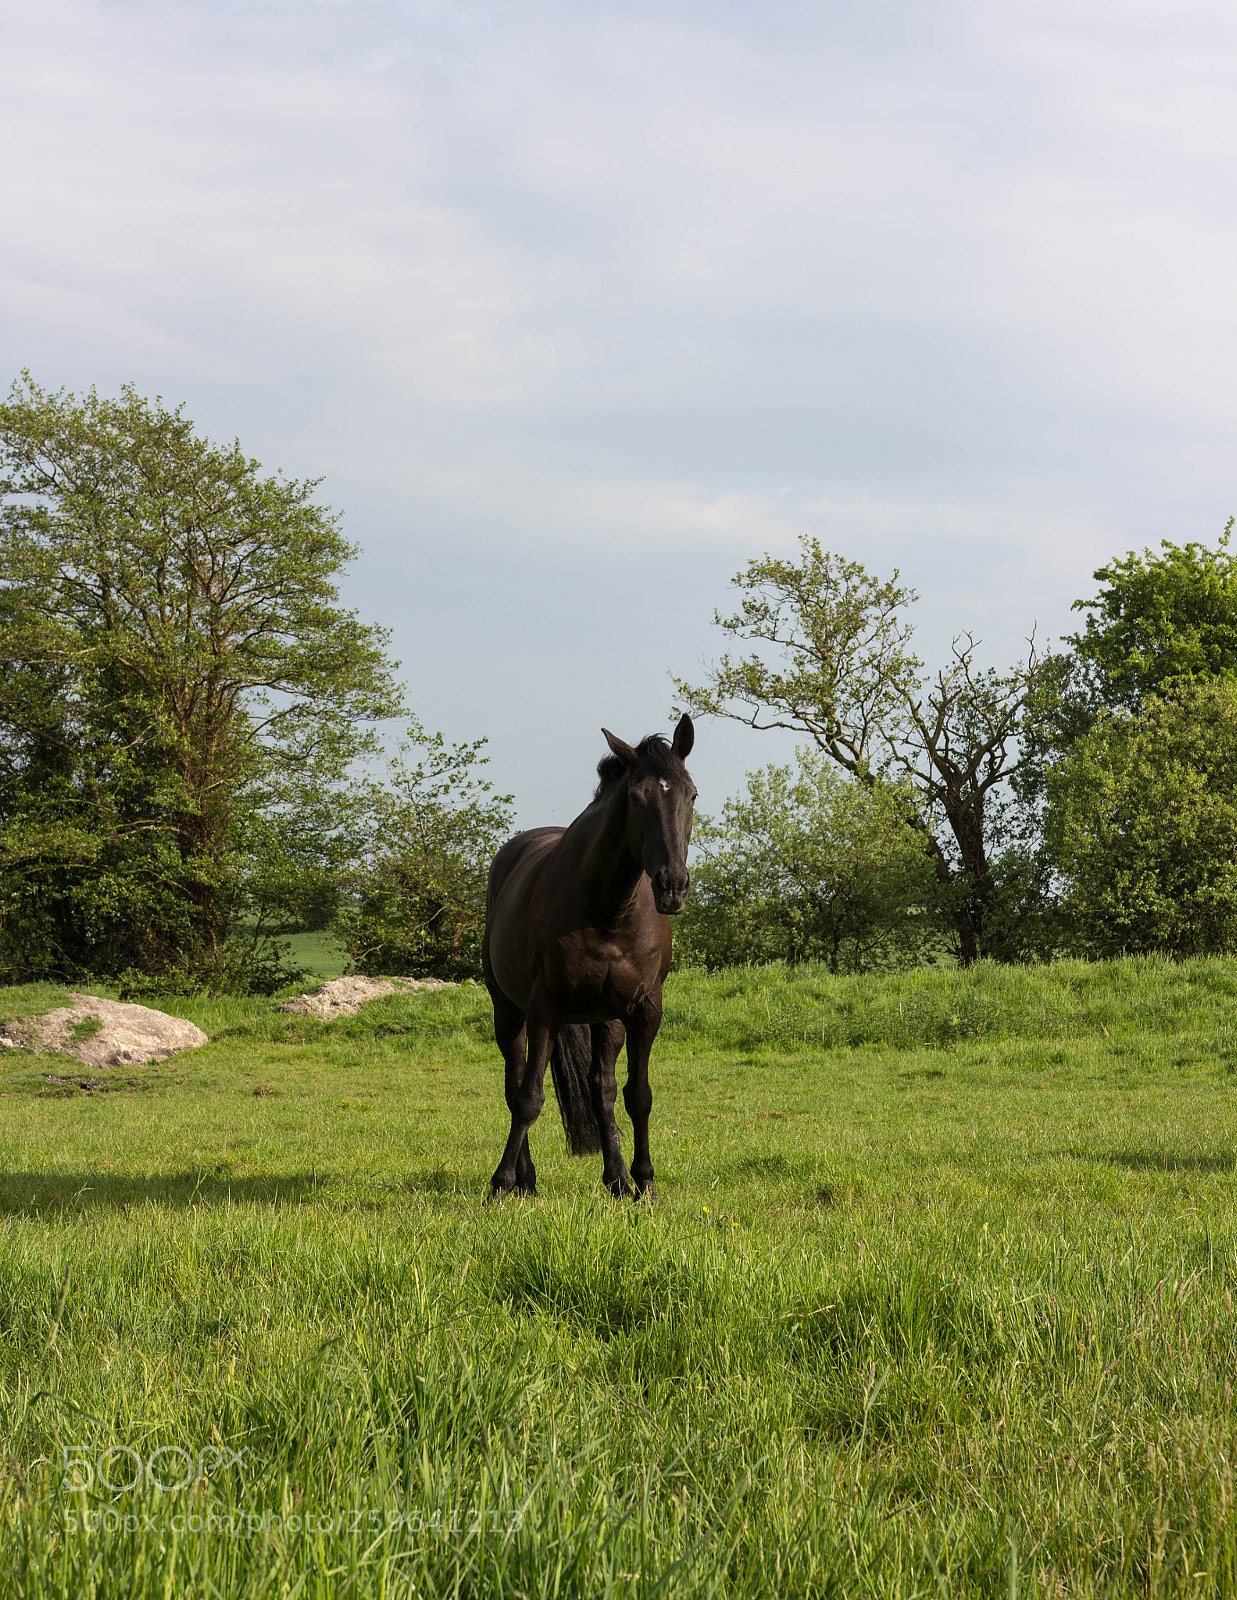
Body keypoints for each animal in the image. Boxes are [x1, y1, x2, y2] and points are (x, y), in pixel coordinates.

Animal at [482, 715, 696, 1201]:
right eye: (636, 797)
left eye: (692, 793)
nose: (672, 886)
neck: (607, 908)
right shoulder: (544, 1008)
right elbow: (528, 1098)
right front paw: (502, 1182)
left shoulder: (644, 1010)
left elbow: (637, 1095)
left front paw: (644, 1182)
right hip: (509, 1010)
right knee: (514, 1081)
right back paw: (525, 1179)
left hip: (606, 1018)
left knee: (601, 1088)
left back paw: (616, 1178)